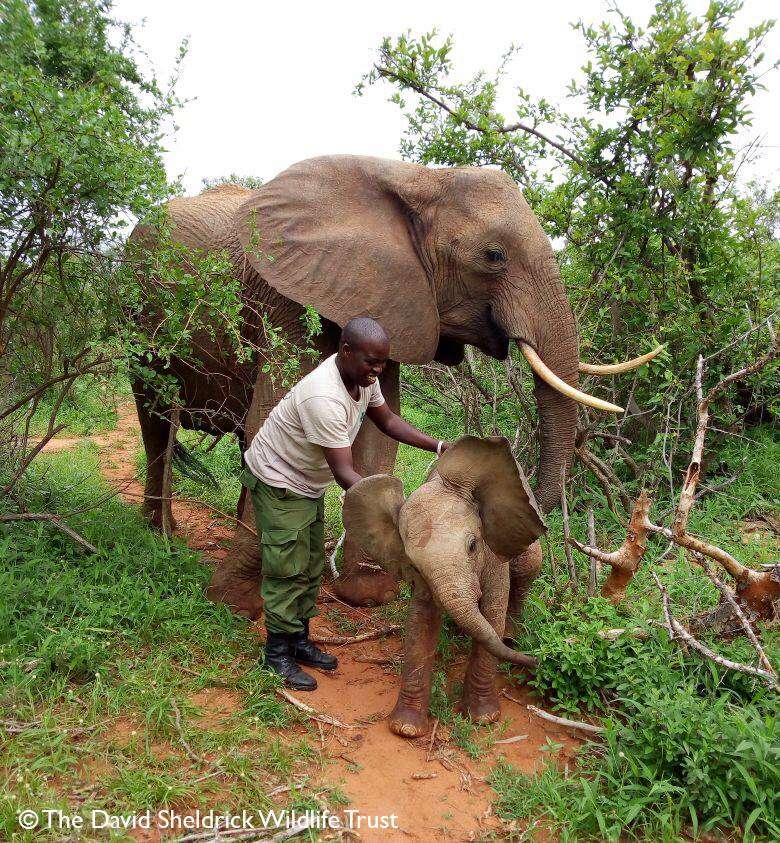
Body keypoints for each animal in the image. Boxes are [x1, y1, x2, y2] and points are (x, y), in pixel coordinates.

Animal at [129, 155, 660, 612]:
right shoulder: (286, 295)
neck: (416, 178)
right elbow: (270, 417)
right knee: (155, 419)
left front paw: (366, 592)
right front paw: (235, 600)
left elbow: (379, 436)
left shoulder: (395, 304)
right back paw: (161, 536)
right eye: (493, 256)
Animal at [344, 436, 544, 740]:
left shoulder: (492, 553)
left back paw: (511, 635)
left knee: (528, 566)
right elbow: (422, 622)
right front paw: (406, 728)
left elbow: (493, 611)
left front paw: (483, 719)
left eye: (473, 546)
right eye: (413, 565)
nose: (537, 660)